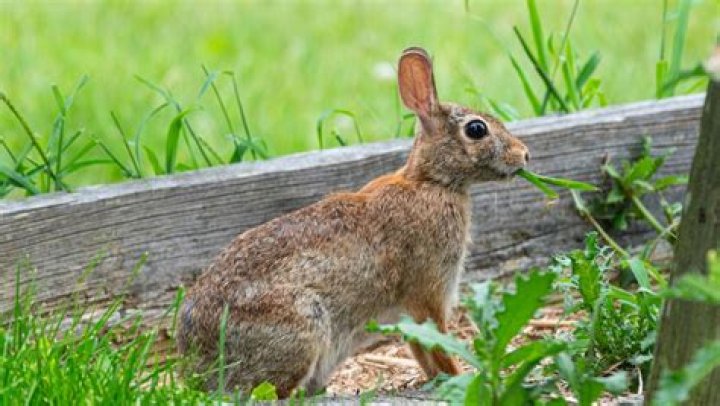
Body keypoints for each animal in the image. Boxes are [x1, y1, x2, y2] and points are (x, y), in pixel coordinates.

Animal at [176, 47, 530, 398]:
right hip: (302, 327)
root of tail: (197, 366)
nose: (525, 155)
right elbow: (439, 343)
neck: (431, 182)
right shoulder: (428, 293)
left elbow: (422, 350)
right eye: (476, 130)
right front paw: (461, 376)